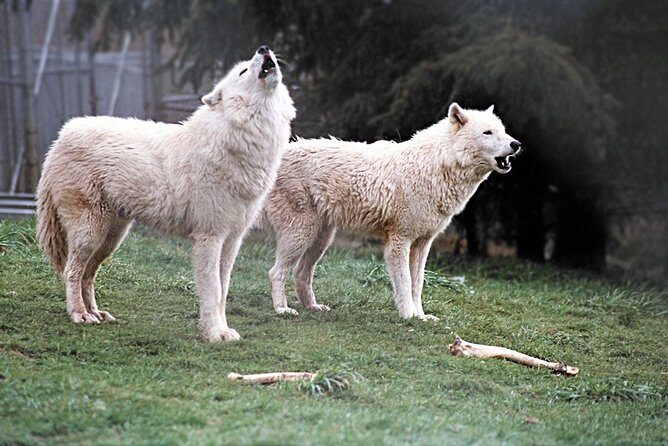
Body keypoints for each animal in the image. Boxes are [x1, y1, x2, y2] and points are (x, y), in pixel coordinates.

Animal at [36, 46, 295, 342]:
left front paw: (222, 330)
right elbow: (213, 290)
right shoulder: (209, 237)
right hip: (90, 233)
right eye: (243, 71)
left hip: (111, 238)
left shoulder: (232, 241)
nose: (264, 48)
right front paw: (214, 334)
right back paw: (79, 314)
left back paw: (96, 313)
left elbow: (223, 291)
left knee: (87, 275)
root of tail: (60, 137)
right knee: (71, 271)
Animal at [259, 103, 520, 320]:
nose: (516, 144)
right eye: (487, 133)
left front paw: (421, 316)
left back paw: (313, 307)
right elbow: (404, 282)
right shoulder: (399, 240)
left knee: (300, 274)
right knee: (275, 272)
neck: (437, 166)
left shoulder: (422, 244)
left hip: (321, 239)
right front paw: (408, 316)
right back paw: (282, 309)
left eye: (503, 131)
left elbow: (418, 283)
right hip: (301, 234)